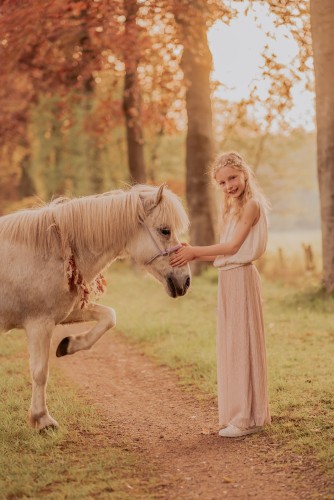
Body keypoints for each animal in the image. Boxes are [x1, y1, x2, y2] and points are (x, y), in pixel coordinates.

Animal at [0, 185, 190, 430]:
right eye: (165, 230)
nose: (186, 280)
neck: (51, 252)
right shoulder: (39, 324)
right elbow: (40, 372)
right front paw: (42, 420)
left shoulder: (66, 313)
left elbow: (109, 317)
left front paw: (69, 345)